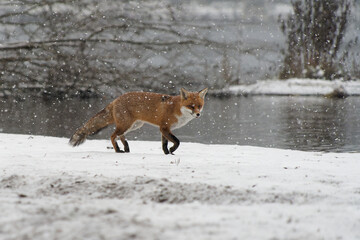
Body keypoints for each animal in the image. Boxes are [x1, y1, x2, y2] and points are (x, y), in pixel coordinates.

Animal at [69, 87, 208, 154]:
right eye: (191, 106)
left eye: (199, 106)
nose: (198, 114)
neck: (177, 109)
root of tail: (115, 99)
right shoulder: (164, 127)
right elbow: (177, 141)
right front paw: (172, 151)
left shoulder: (165, 129)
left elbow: (164, 144)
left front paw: (168, 153)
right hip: (126, 124)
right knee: (113, 136)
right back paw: (118, 150)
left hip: (134, 125)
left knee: (120, 136)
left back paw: (126, 148)